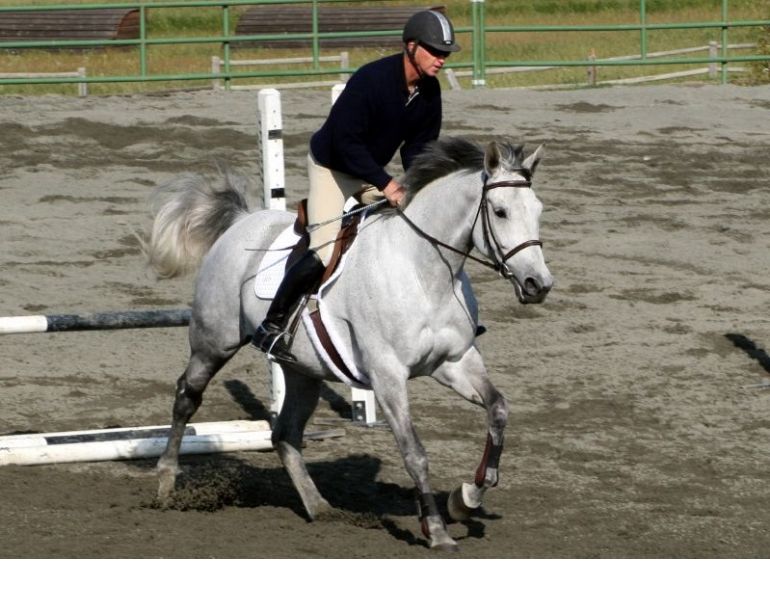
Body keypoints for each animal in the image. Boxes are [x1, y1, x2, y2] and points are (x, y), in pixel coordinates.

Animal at [142, 136, 553, 551]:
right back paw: (166, 483)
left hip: (302, 370)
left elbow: (498, 410)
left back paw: (319, 507)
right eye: (500, 212)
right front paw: (436, 531)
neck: (426, 273)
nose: (538, 285)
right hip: (214, 342)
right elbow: (415, 452)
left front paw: (466, 498)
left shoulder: (455, 361)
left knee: (285, 434)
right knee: (187, 397)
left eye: (538, 210)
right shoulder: (388, 375)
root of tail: (241, 220)